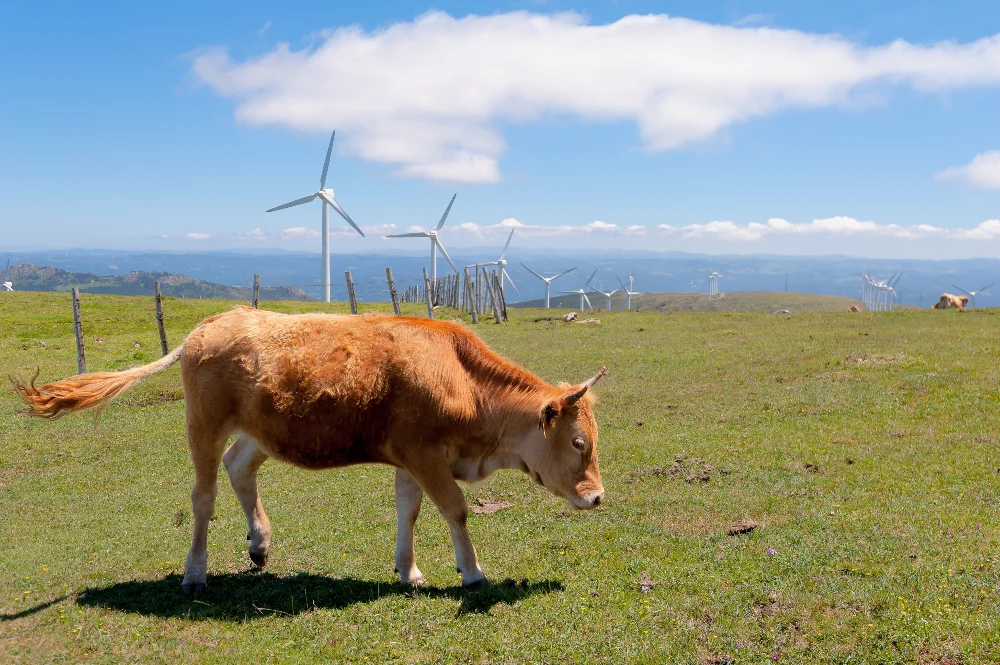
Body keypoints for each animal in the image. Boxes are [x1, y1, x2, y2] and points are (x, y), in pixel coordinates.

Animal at [13, 310, 608, 592]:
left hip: (258, 431)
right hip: (202, 425)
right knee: (203, 497)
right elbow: (455, 511)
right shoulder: (426, 454)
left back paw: (259, 544)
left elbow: (409, 512)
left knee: (239, 468)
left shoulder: (412, 457)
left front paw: (409, 572)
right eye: (579, 442)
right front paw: (473, 572)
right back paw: (195, 573)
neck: (461, 377)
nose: (598, 498)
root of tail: (210, 324)